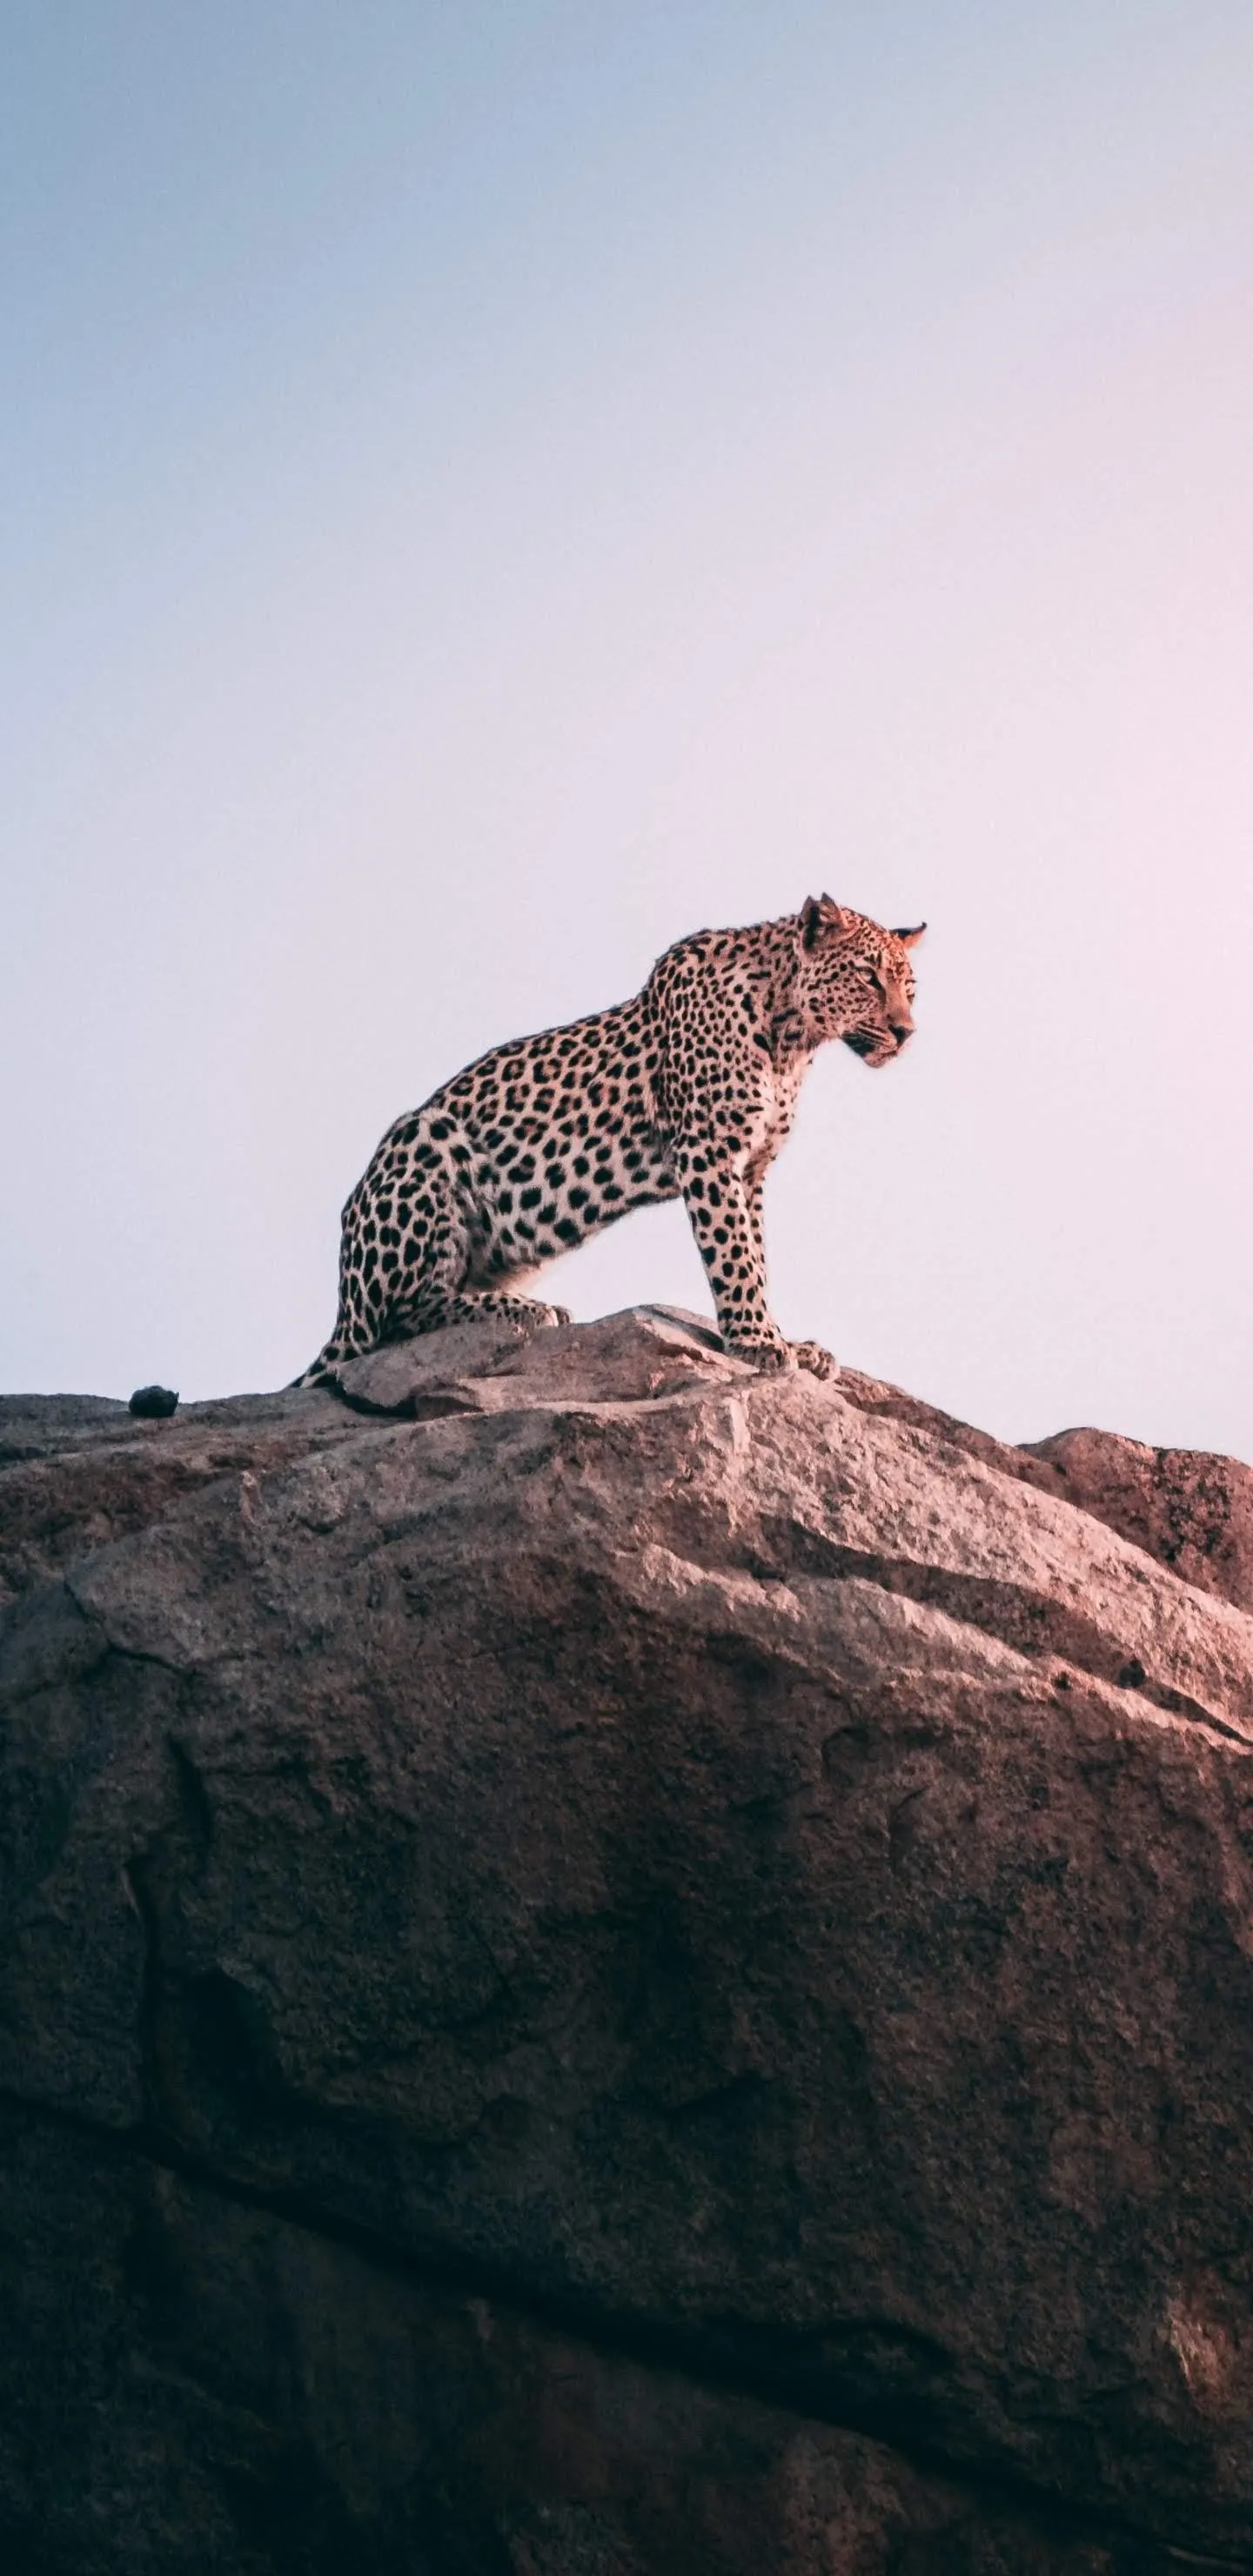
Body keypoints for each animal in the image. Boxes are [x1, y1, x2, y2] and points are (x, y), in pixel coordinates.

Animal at [295, 895, 924, 1387]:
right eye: (868, 977)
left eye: (910, 989)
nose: (906, 1032)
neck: (792, 1038)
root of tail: (342, 1305)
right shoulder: (710, 1152)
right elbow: (734, 1255)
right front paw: (758, 1343)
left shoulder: (752, 1170)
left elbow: (758, 1255)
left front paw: (785, 1340)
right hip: (424, 1140)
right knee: (395, 1322)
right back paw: (526, 1311)